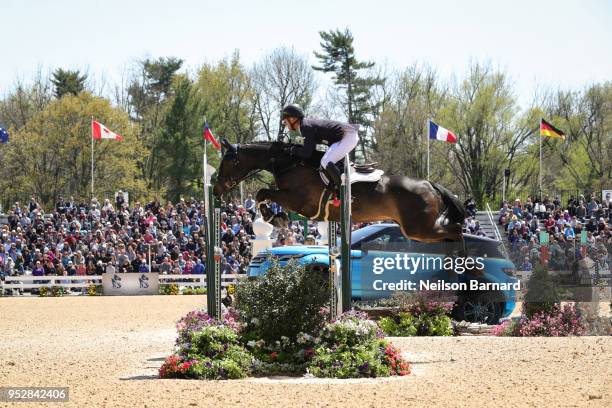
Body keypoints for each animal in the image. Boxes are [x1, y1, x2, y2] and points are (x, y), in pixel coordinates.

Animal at [213, 140, 466, 242]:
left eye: (227, 162)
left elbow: (262, 193)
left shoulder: (299, 201)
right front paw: (277, 217)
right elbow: (263, 193)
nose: (216, 190)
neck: (290, 163)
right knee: (451, 232)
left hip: (417, 229)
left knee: (456, 230)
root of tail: (429, 184)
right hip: (417, 229)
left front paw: (274, 217)